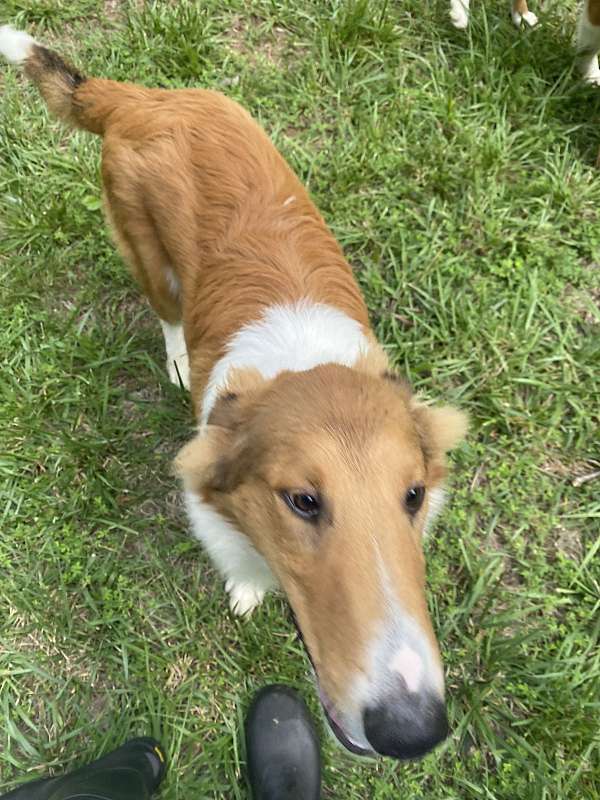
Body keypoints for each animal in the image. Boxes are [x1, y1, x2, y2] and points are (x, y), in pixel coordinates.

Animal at [0, 25, 466, 760]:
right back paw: (177, 360)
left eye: (414, 495)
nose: (412, 731)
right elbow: (240, 561)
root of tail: (147, 99)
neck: (304, 359)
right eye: (302, 500)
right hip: (148, 257)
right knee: (166, 312)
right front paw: (248, 589)